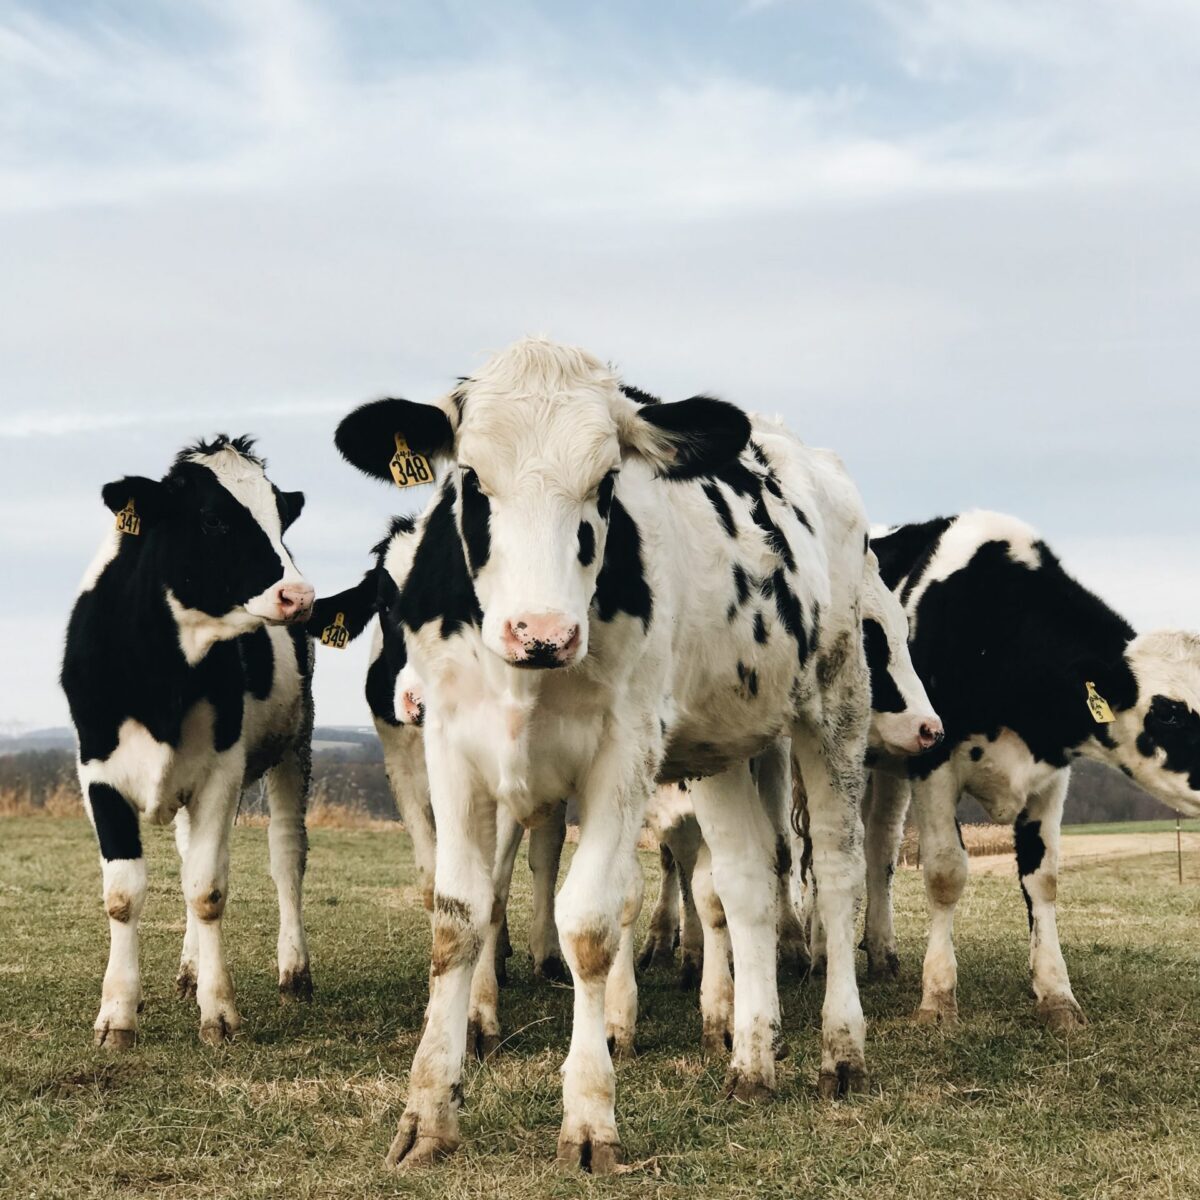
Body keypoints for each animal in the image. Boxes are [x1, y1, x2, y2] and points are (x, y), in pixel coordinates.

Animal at [60, 436, 316, 1048]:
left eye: (281, 518)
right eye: (213, 519)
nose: (299, 595)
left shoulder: (220, 771)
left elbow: (207, 890)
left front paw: (218, 1013)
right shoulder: (97, 772)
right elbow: (124, 893)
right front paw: (117, 1015)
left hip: (294, 746)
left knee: (286, 855)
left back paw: (293, 970)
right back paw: (189, 969)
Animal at [331, 336, 877, 1173]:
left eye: (608, 482)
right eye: (470, 478)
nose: (541, 632)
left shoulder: (624, 754)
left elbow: (588, 924)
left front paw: (589, 1117)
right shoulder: (452, 748)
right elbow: (457, 917)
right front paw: (428, 1113)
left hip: (835, 705)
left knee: (840, 871)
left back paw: (841, 1050)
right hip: (721, 744)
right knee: (748, 883)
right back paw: (751, 1059)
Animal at [866, 510, 1200, 1031]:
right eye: (1168, 712)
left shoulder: (1051, 775)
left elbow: (1042, 878)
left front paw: (1055, 992)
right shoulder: (932, 763)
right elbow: (945, 872)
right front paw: (938, 996)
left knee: (879, 846)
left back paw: (880, 954)